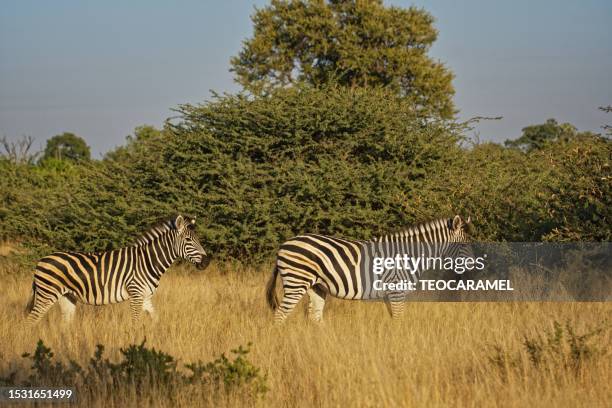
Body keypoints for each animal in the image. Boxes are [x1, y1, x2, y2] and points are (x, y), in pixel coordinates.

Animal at [25, 214, 210, 326]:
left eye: (198, 239)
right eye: (188, 240)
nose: (207, 262)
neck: (148, 261)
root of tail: (41, 260)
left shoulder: (146, 297)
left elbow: (156, 319)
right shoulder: (136, 295)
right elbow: (135, 323)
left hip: (67, 297)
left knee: (64, 324)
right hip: (47, 294)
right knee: (31, 320)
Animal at [266, 215, 470, 324]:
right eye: (464, 245)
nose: (473, 266)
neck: (410, 255)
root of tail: (283, 245)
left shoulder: (390, 293)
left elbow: (394, 318)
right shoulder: (397, 290)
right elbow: (399, 319)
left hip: (316, 286)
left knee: (315, 317)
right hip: (296, 281)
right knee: (280, 315)